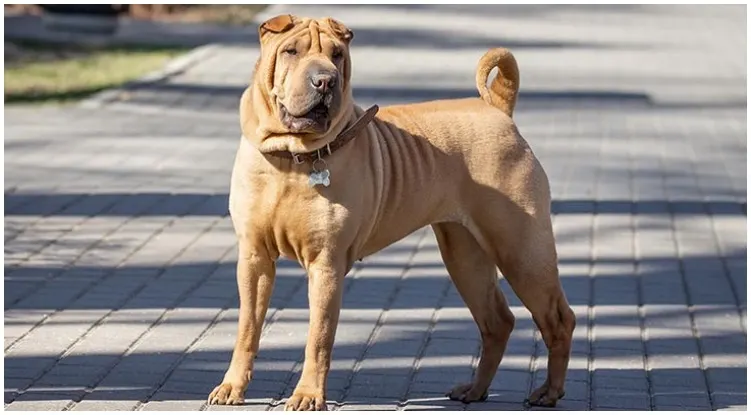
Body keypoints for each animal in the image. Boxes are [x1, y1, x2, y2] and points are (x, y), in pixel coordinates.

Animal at [206, 14, 576, 412]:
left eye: (336, 55)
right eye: (291, 51)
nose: (325, 80)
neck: (292, 159)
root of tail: (497, 109)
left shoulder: (326, 264)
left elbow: (318, 337)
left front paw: (308, 395)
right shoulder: (254, 258)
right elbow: (247, 328)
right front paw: (231, 387)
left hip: (521, 251)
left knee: (558, 319)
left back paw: (549, 392)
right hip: (465, 256)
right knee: (498, 321)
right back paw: (475, 390)